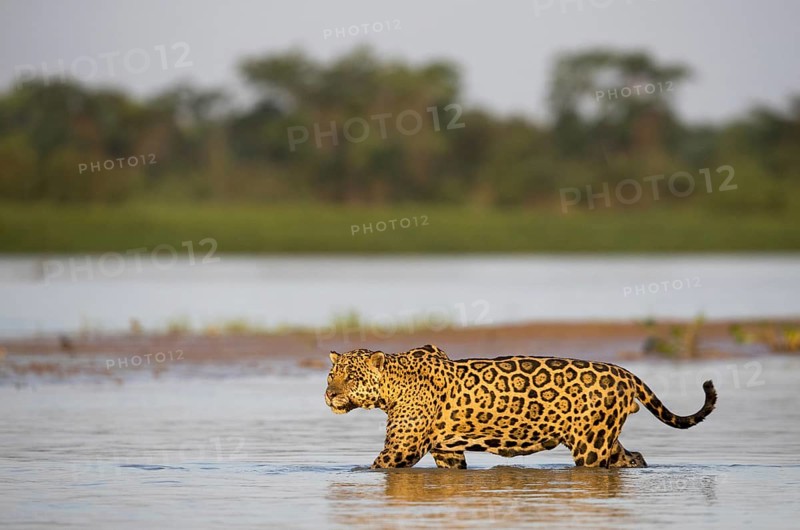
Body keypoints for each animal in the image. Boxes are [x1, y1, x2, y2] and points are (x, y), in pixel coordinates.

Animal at [324, 344, 716, 469]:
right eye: (331, 375)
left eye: (351, 377)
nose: (329, 394)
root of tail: (625, 372)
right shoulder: (447, 450)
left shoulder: (401, 449)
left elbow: (374, 467)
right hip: (602, 436)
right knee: (633, 456)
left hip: (590, 445)